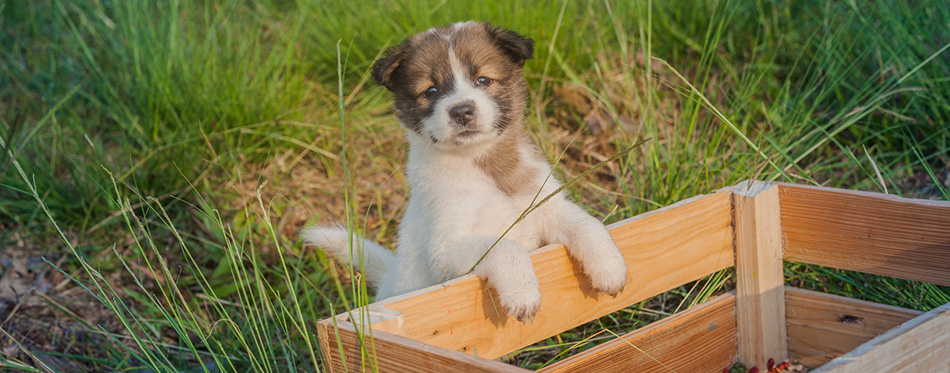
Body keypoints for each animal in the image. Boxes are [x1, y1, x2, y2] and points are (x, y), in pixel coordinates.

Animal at [304, 21, 628, 322]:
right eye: (431, 90)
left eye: (482, 79)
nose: (461, 111)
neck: (484, 166)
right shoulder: (447, 250)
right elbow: (505, 246)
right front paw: (522, 294)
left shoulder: (545, 205)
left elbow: (587, 224)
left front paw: (611, 267)